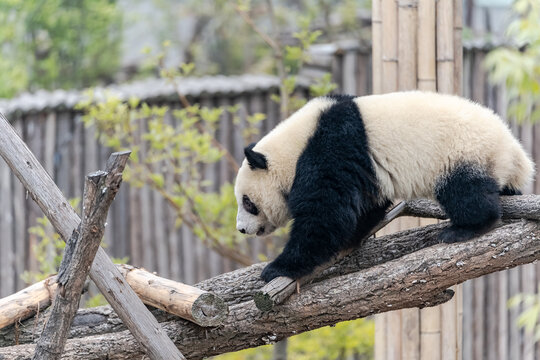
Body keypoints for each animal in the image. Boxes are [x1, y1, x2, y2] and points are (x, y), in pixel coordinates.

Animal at [234, 91, 532, 282]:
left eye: (248, 202)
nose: (241, 229)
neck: (295, 145)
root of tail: (513, 149)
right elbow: (363, 206)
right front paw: (354, 236)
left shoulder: (331, 148)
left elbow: (325, 215)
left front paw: (277, 269)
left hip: (462, 153)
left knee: (464, 193)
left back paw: (462, 229)